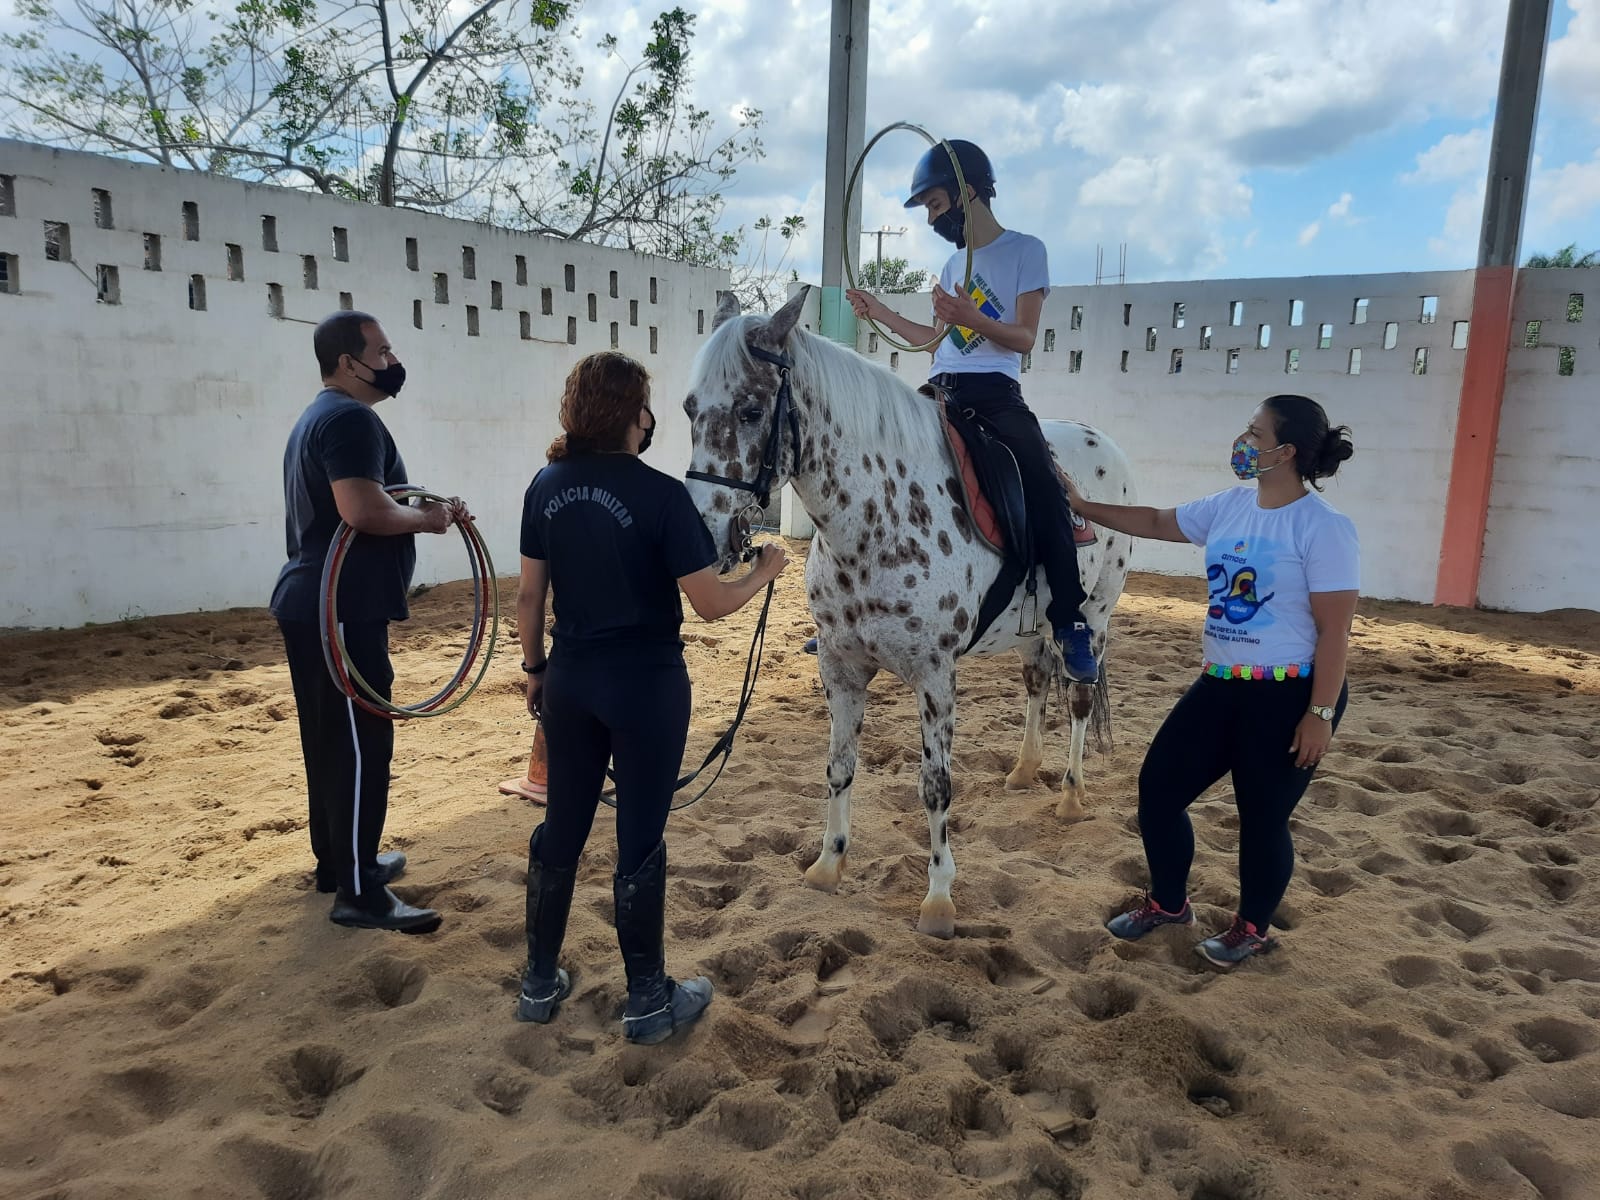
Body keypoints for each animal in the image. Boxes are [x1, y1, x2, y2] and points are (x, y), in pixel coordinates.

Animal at [681, 284, 1132, 940]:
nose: (702, 538)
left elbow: (936, 786)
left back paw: (1070, 796)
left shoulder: (935, 674)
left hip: (1093, 616)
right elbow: (839, 766)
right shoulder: (840, 669)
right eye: (689, 408)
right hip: (1030, 629)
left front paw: (939, 899)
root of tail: (1105, 444)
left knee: (1076, 693)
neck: (880, 517)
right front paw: (827, 866)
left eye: (749, 411)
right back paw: (1024, 770)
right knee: (1037, 680)